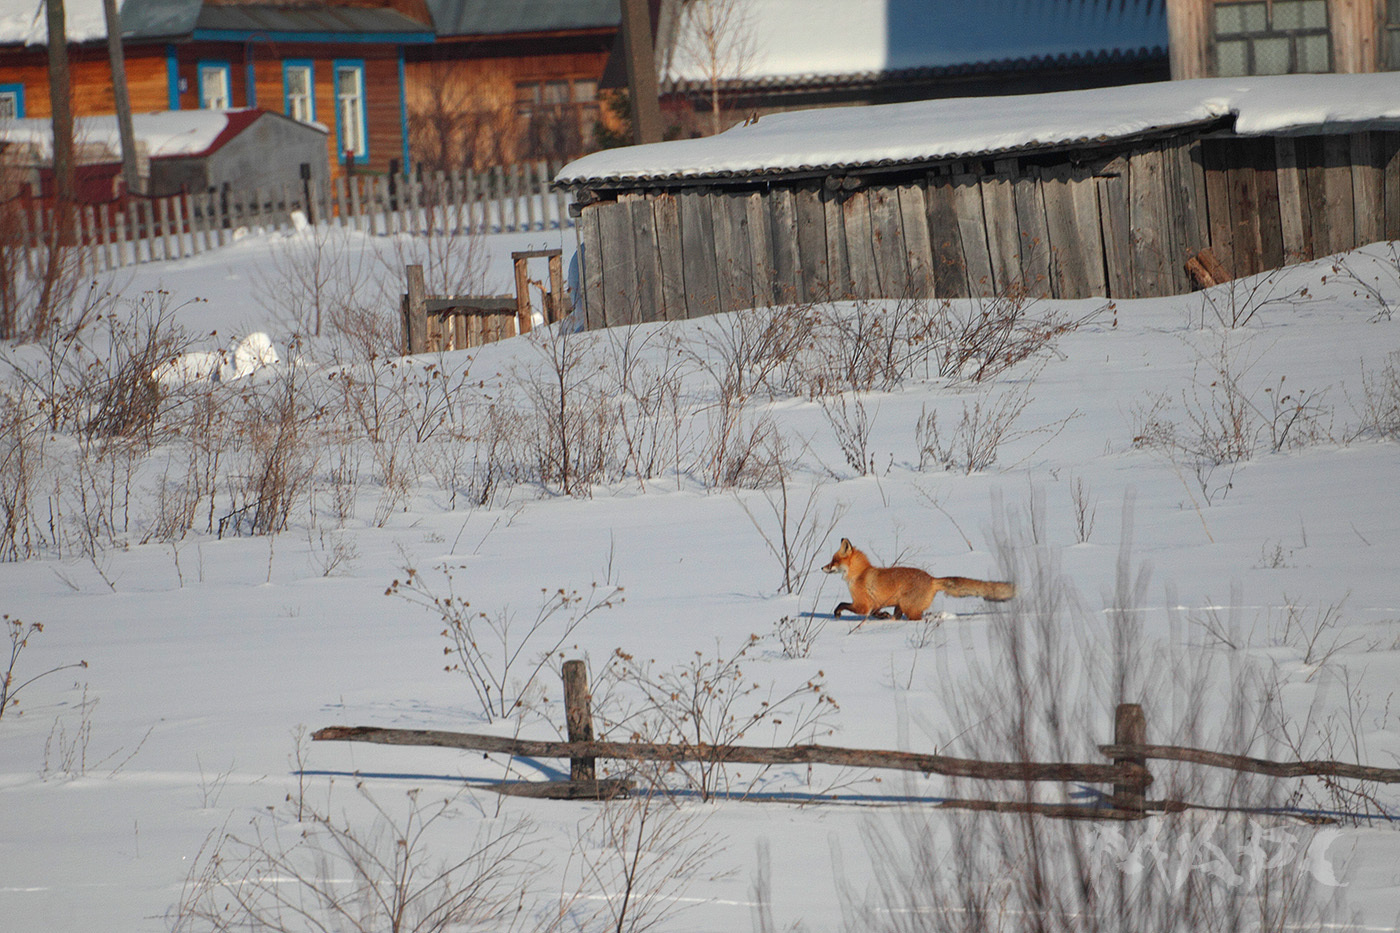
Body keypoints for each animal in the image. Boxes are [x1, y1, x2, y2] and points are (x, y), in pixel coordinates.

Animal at [823, 537, 1013, 616]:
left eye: (833, 561)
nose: (822, 567)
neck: (860, 574)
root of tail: (932, 579)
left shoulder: (862, 605)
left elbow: (842, 604)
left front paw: (837, 613)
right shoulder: (875, 604)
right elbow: (878, 612)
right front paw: (882, 617)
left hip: (909, 608)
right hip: (900, 607)